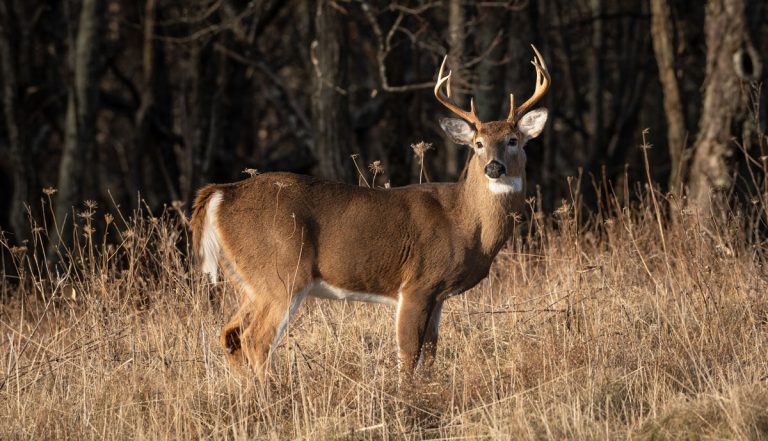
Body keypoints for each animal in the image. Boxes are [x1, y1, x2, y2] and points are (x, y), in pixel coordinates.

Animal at [190, 45, 550, 382]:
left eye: (513, 140)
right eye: (477, 143)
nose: (494, 167)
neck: (464, 222)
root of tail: (221, 192)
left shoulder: (438, 295)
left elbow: (431, 352)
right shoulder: (417, 284)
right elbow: (408, 354)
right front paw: (406, 398)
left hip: (248, 280)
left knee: (230, 335)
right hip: (281, 272)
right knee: (256, 340)